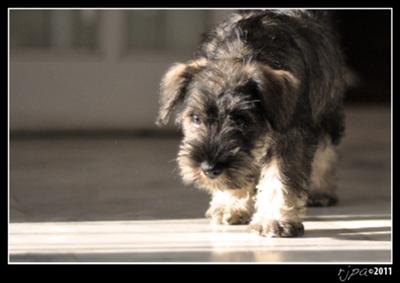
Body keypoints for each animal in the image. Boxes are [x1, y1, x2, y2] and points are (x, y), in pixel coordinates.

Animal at [156, 9, 346, 237]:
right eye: (195, 118)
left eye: (242, 120)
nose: (209, 168)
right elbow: (240, 175)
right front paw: (232, 205)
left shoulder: (290, 136)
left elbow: (280, 177)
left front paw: (274, 220)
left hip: (327, 108)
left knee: (326, 148)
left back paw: (321, 190)